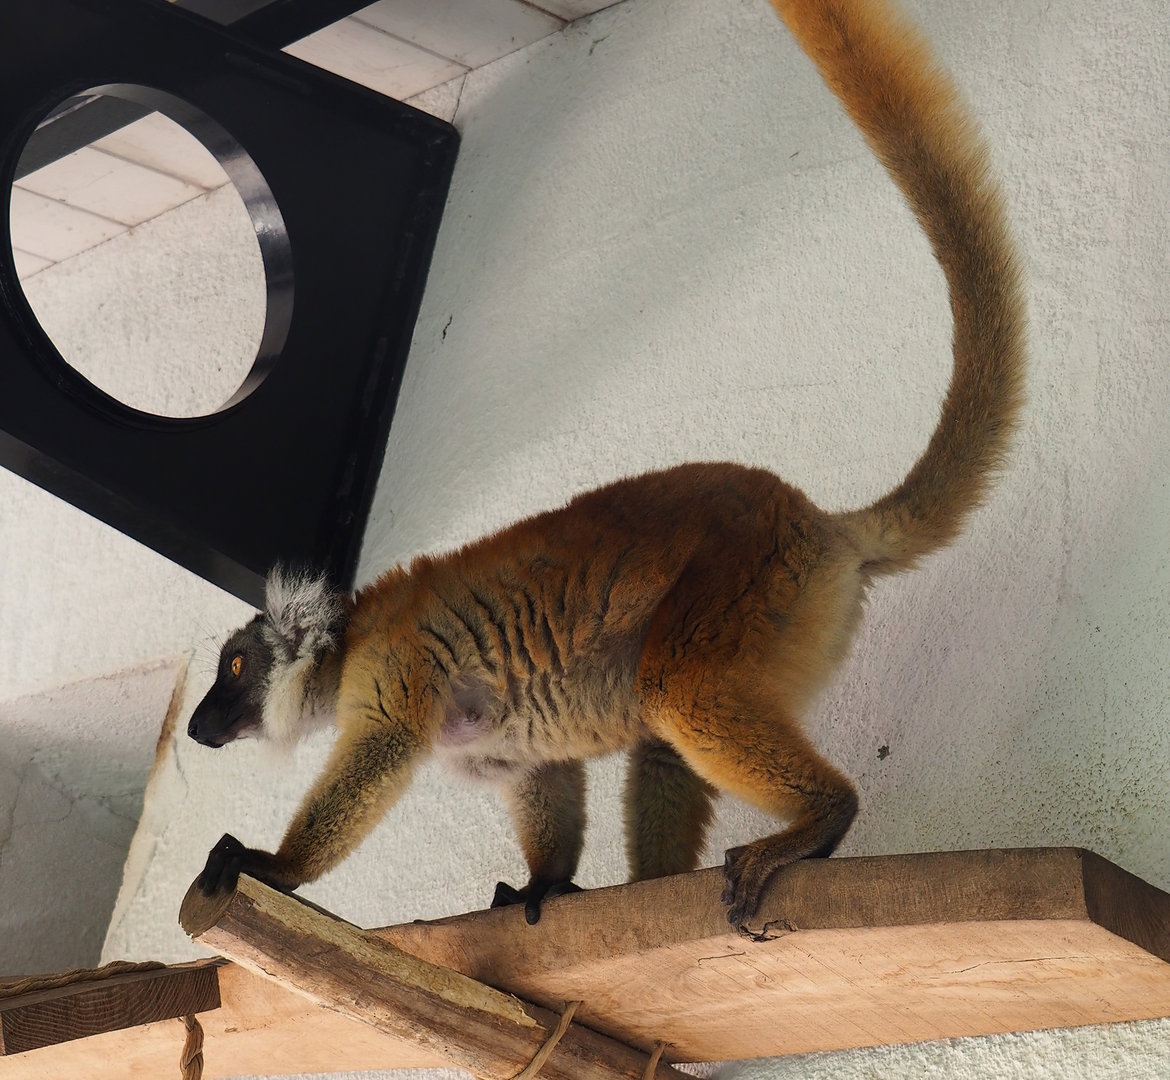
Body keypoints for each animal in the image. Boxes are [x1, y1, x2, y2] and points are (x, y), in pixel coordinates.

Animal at [189, 0, 1025, 929]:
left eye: (235, 669)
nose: (197, 725)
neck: (348, 644)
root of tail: (822, 527)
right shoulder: (482, 736)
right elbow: (539, 774)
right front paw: (546, 879)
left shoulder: (391, 675)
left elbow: (379, 759)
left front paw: (274, 865)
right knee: (665, 727)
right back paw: (655, 891)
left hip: (752, 578)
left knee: (675, 690)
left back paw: (822, 816)